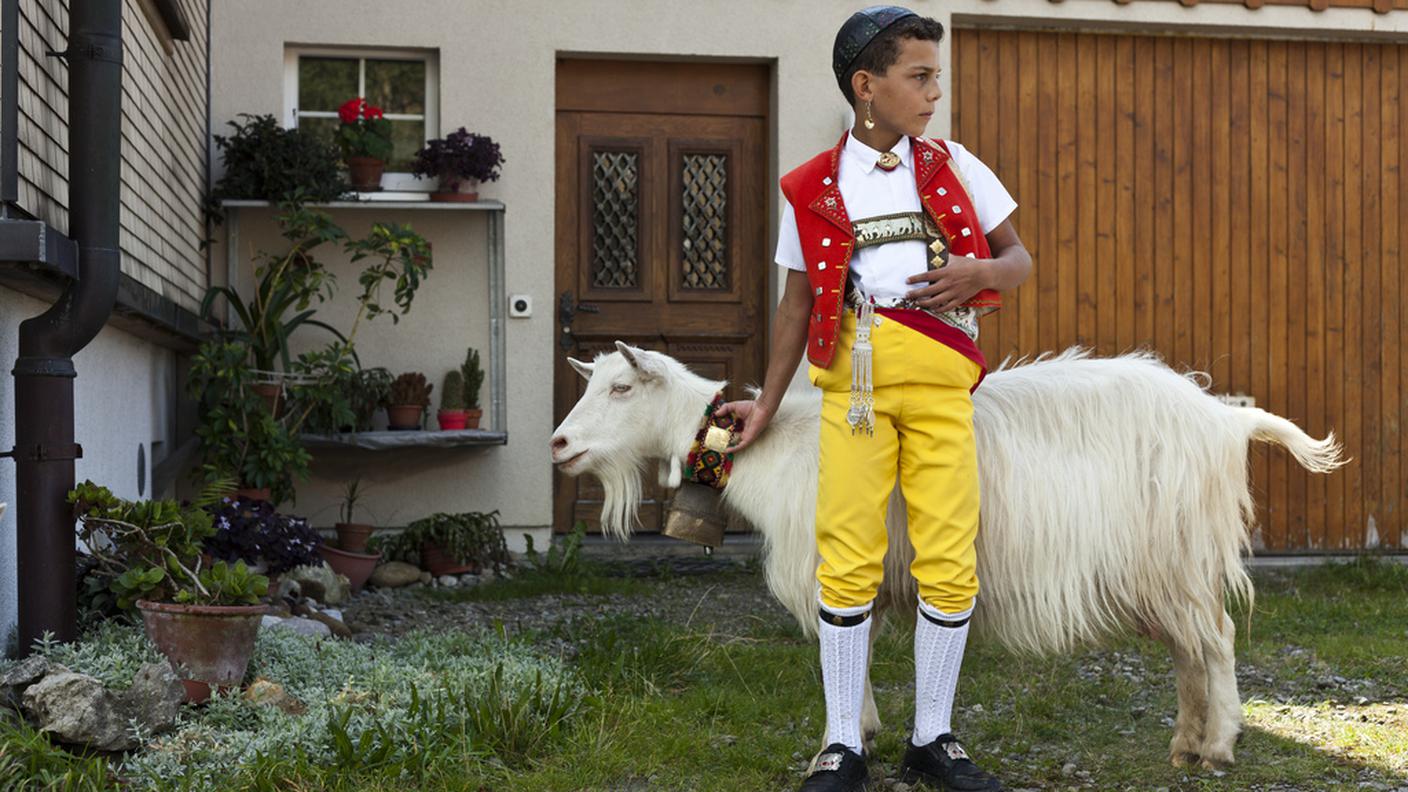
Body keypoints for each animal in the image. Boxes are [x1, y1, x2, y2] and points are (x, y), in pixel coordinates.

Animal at [546, 342, 1340, 766]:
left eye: (622, 387)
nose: (559, 444)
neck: (779, 447)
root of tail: (1223, 419)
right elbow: (858, 645)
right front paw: (861, 735)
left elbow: (846, 648)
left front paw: (846, 737)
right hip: (1165, 569)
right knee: (1190, 650)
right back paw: (1184, 743)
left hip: (1175, 553)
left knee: (1217, 640)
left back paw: (1221, 744)